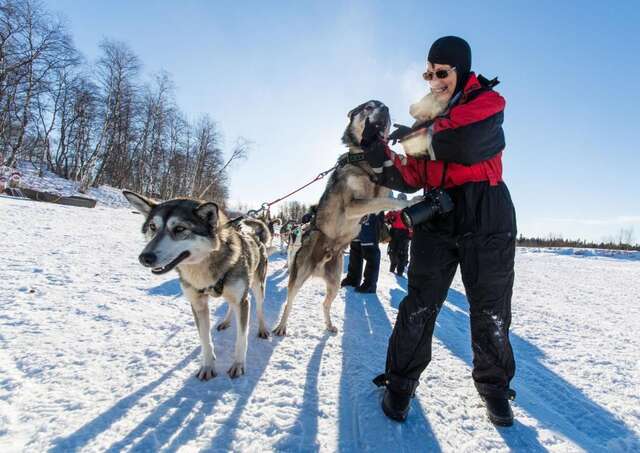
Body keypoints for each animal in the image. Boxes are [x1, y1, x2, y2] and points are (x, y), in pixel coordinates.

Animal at [123, 192, 270, 380]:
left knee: (259, 308)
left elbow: (241, 339)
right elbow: (205, 339)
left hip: (257, 287)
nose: (145, 258)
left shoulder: (242, 301)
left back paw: (263, 328)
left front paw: (238, 364)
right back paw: (225, 321)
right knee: (230, 305)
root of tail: (256, 238)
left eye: (179, 229)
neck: (203, 268)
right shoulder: (197, 304)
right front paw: (207, 366)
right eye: (152, 227)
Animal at [272, 101, 418, 336]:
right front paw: (411, 202)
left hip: (333, 284)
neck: (365, 162)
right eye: (369, 106)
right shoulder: (352, 205)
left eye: (384, 106)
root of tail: (318, 267)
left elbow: (387, 194)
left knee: (325, 304)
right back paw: (281, 326)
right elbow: (387, 201)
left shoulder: (381, 189)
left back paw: (330, 325)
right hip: (298, 278)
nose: (385, 109)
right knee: (289, 303)